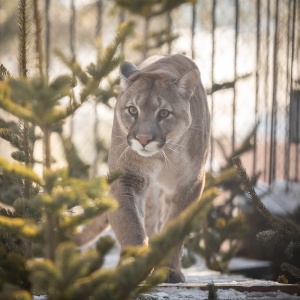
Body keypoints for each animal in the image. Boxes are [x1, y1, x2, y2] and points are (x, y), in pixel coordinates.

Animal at [109, 54, 210, 284]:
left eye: (164, 113)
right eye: (132, 110)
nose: (143, 139)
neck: (162, 157)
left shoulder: (190, 183)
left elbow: (175, 227)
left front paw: (169, 270)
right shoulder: (127, 177)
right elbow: (130, 224)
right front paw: (133, 266)